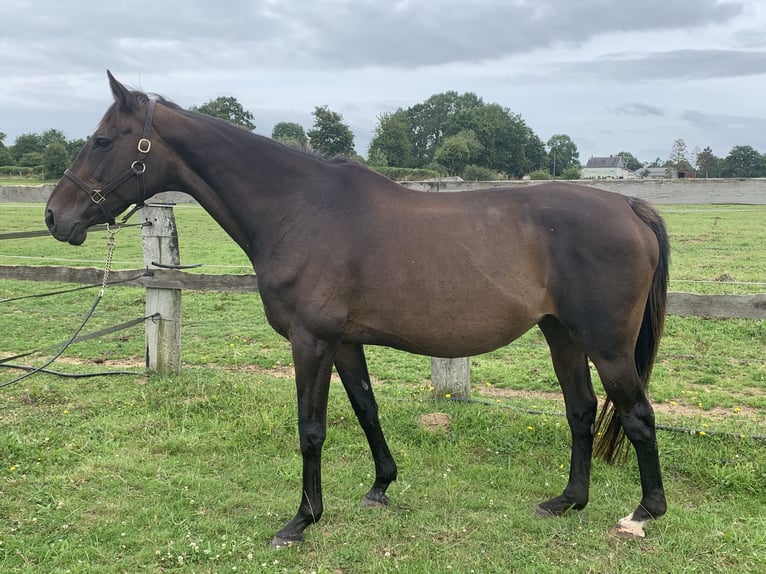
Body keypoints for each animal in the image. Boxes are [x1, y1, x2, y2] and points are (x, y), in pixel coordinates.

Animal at [46, 73, 672, 548]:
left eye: (104, 140)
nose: (56, 216)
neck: (298, 208)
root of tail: (630, 206)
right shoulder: (345, 341)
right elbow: (367, 410)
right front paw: (380, 487)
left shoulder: (311, 340)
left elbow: (311, 429)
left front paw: (301, 520)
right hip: (561, 334)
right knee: (581, 411)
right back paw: (566, 501)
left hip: (607, 345)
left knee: (637, 415)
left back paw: (642, 514)